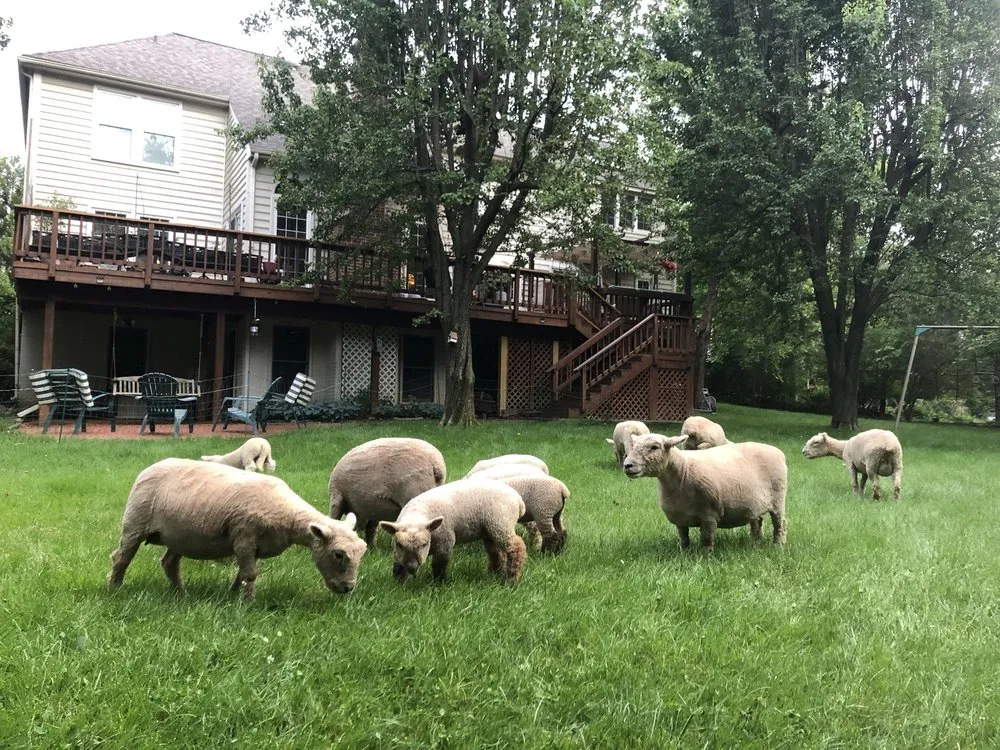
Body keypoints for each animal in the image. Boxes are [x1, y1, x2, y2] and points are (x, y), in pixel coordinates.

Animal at [107, 458, 367, 600]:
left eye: (363, 551)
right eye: (338, 554)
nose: (347, 588)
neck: (287, 513)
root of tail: (150, 467)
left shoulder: (255, 546)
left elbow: (243, 573)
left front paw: (233, 595)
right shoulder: (244, 536)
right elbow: (250, 574)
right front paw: (248, 603)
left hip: (179, 535)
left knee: (169, 563)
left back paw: (181, 594)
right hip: (135, 523)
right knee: (121, 557)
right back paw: (115, 589)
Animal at [379, 478, 527, 584]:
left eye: (424, 544)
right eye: (400, 545)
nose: (412, 567)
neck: (417, 515)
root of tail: (518, 500)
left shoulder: (445, 543)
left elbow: (439, 566)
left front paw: (439, 583)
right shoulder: (397, 551)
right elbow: (397, 567)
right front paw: (399, 585)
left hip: (501, 523)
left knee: (516, 546)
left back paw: (512, 580)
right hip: (490, 530)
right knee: (497, 553)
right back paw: (494, 574)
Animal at [622, 434, 787, 552]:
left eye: (654, 447)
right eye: (634, 445)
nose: (627, 465)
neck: (684, 470)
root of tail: (779, 452)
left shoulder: (709, 515)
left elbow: (706, 539)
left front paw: (705, 558)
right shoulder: (680, 518)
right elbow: (683, 538)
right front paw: (684, 553)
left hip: (778, 500)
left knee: (780, 523)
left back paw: (778, 545)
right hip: (754, 503)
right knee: (757, 520)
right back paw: (755, 542)